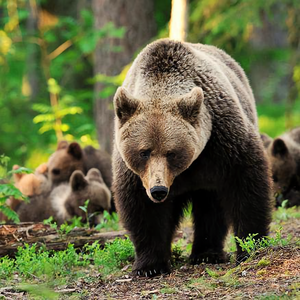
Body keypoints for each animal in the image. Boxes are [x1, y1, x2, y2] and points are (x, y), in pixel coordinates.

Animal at [112, 38, 272, 278]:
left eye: (171, 152)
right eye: (144, 151)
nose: (158, 190)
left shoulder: (222, 141)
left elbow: (246, 185)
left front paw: (250, 246)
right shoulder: (134, 171)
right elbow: (142, 208)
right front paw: (150, 265)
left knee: (211, 206)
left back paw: (207, 253)